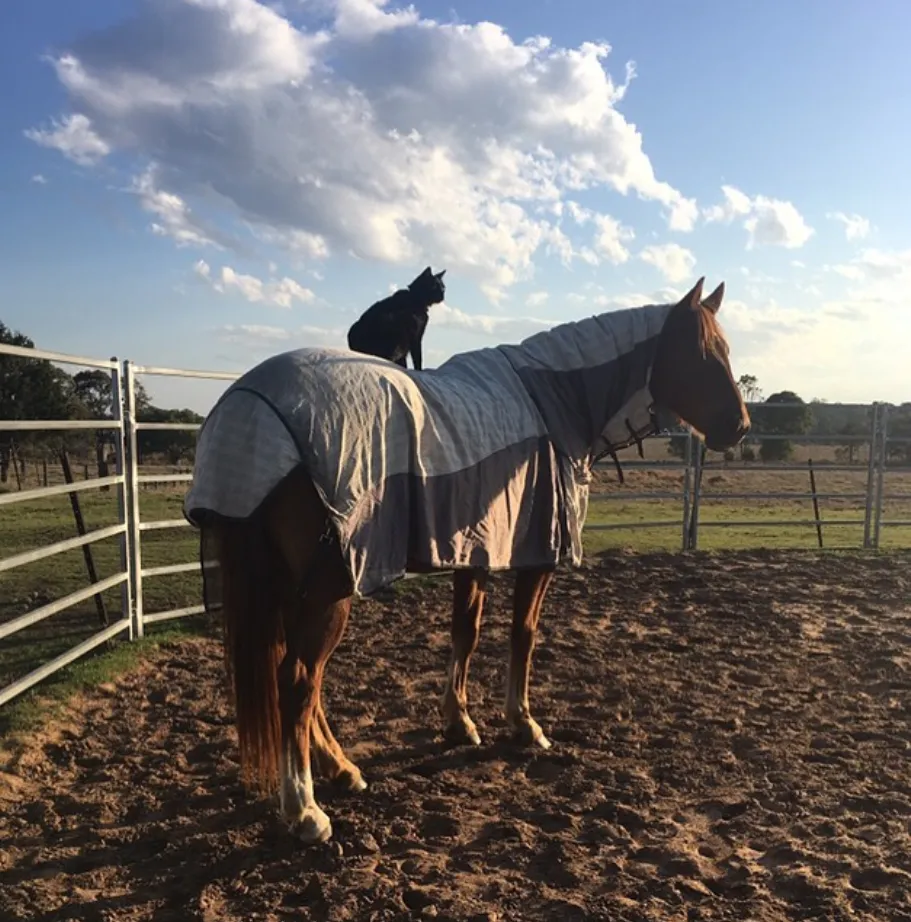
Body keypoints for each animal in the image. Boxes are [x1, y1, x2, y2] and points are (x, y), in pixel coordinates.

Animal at [183, 276, 750, 845]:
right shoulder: (537, 556)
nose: (739, 428)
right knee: (299, 680)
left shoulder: (473, 552)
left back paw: (342, 770)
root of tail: (247, 410)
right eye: (701, 353)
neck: (549, 404)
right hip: (327, 589)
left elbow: (466, 633)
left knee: (302, 681)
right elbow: (522, 634)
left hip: (290, 586)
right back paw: (306, 809)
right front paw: (523, 724)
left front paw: (460, 723)